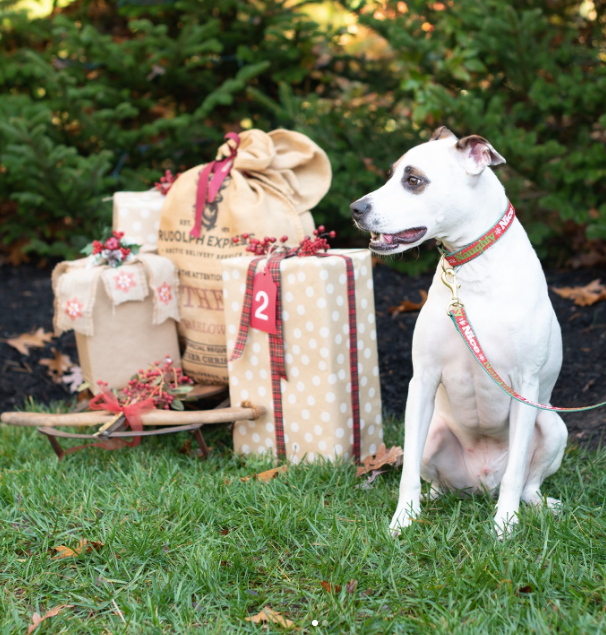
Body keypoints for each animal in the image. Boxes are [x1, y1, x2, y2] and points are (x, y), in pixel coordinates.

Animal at [352, 128, 568, 536]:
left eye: (413, 180)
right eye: (390, 174)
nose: (356, 208)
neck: (471, 269)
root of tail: (482, 482)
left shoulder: (525, 385)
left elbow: (516, 473)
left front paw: (505, 523)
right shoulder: (421, 380)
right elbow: (407, 473)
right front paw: (402, 519)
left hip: (552, 423)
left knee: (526, 481)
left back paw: (537, 505)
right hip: (433, 432)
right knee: (433, 478)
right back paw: (431, 499)